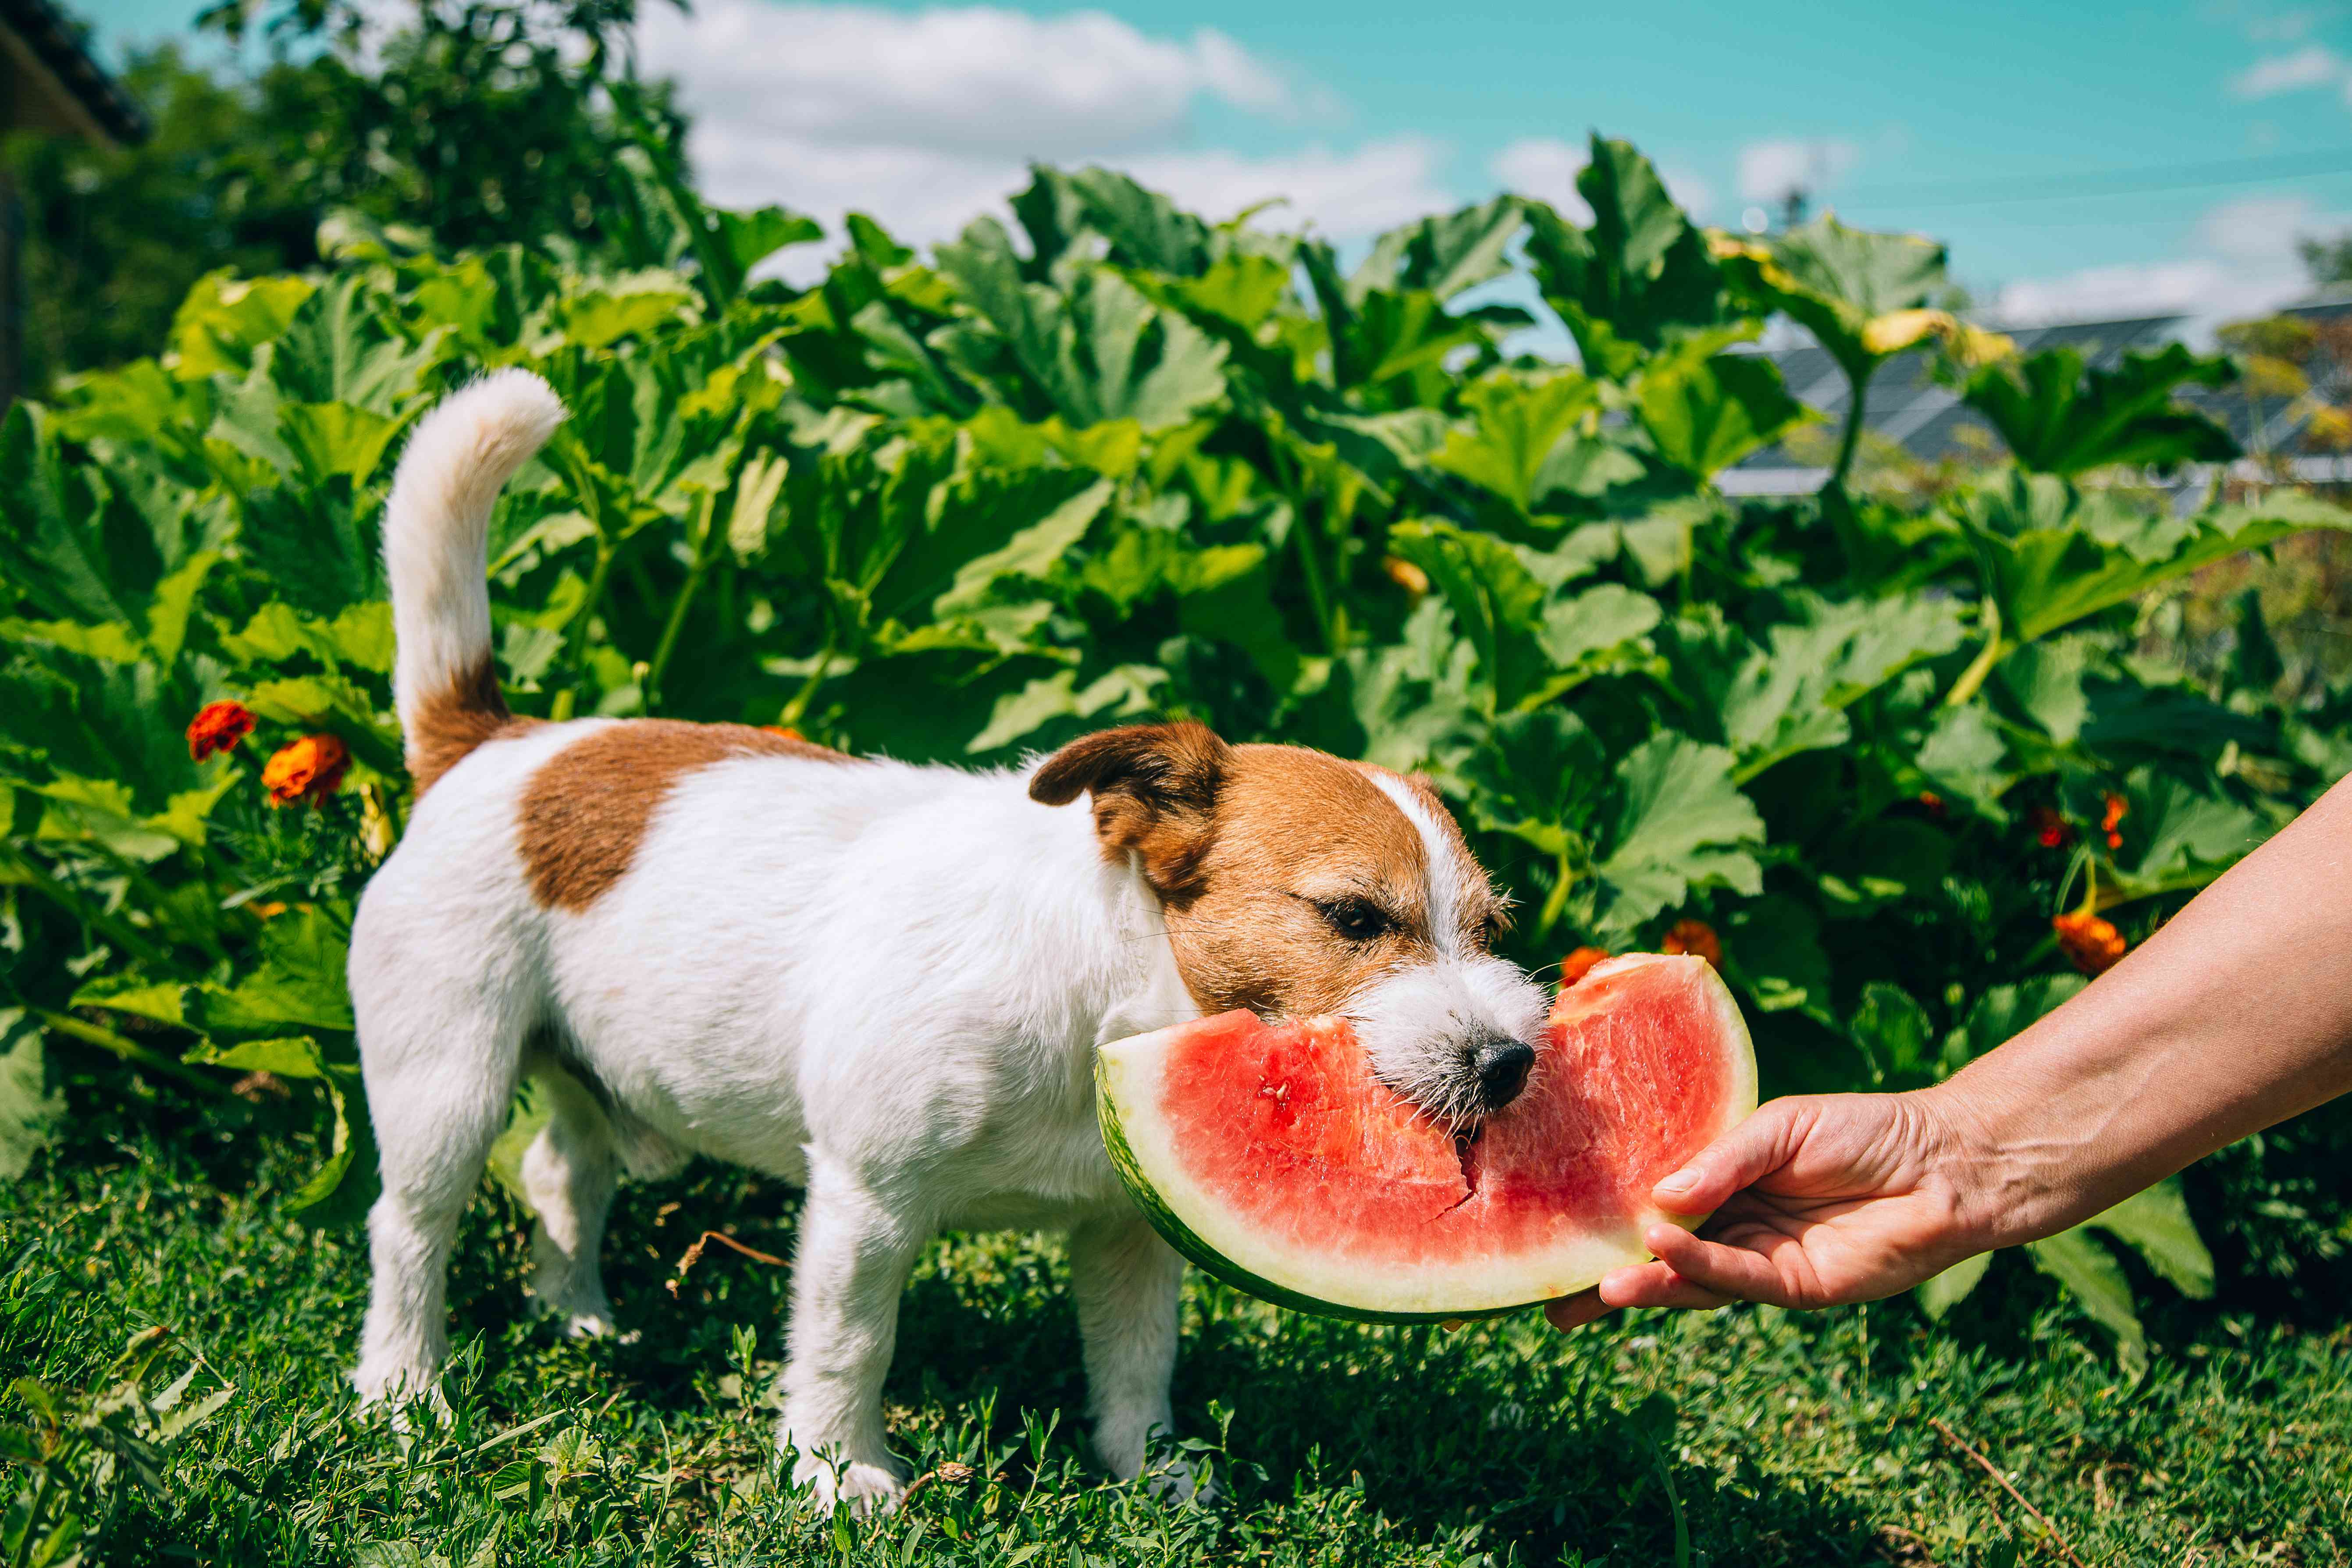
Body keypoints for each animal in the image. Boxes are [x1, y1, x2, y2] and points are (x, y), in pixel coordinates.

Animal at [348, 373, 1552, 1514]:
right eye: (1353, 918)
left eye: (1493, 927)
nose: (1509, 1063)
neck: (1103, 1001)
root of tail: (489, 741)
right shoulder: (866, 1202)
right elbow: (849, 1343)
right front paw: (836, 1475)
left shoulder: (1128, 1232)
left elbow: (1135, 1362)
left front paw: (1154, 1473)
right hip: (448, 1080)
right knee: (408, 1226)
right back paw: (405, 1393)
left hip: (591, 1069)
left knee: (562, 1173)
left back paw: (579, 1318)